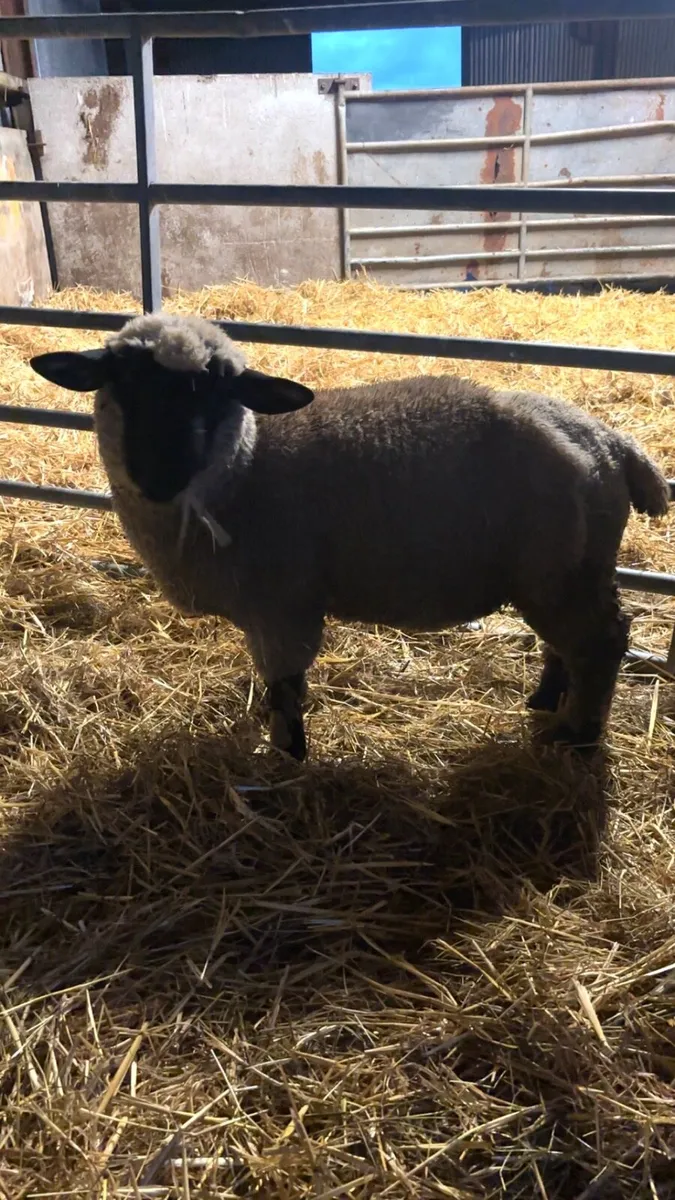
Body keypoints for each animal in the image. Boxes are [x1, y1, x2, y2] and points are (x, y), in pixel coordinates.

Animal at [30, 313, 671, 761]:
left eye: (220, 392)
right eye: (122, 382)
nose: (161, 475)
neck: (250, 465)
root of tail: (612, 443)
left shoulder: (285, 606)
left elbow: (286, 686)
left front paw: (288, 754)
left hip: (561, 571)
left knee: (602, 642)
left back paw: (577, 737)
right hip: (561, 571)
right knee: (571, 641)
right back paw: (545, 702)